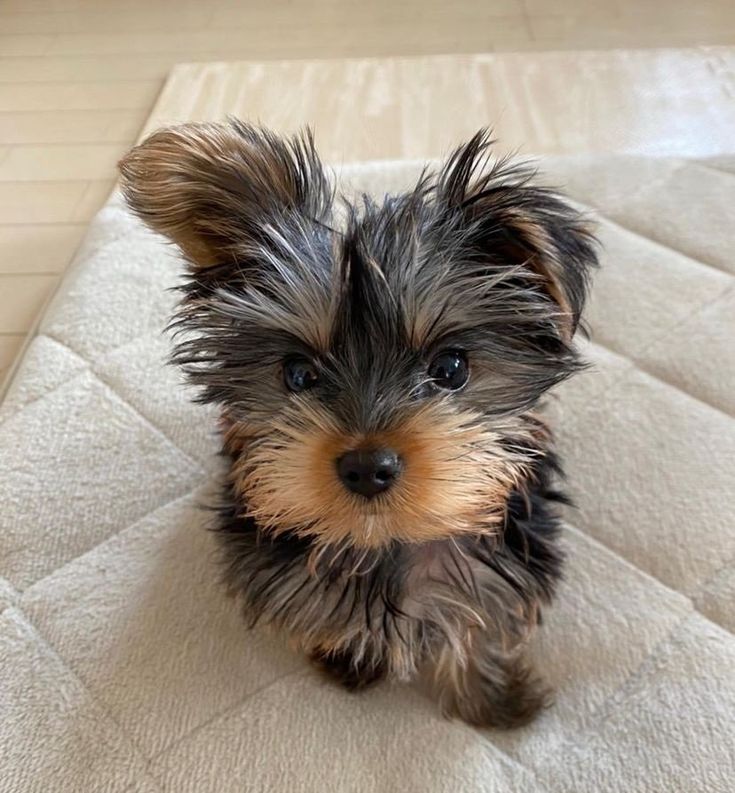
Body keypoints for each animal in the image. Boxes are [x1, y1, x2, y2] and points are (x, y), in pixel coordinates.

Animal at [118, 120, 596, 728]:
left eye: (451, 368)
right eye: (298, 374)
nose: (368, 466)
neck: (384, 542)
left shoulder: (504, 564)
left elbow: (478, 619)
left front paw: (491, 698)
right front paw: (349, 660)